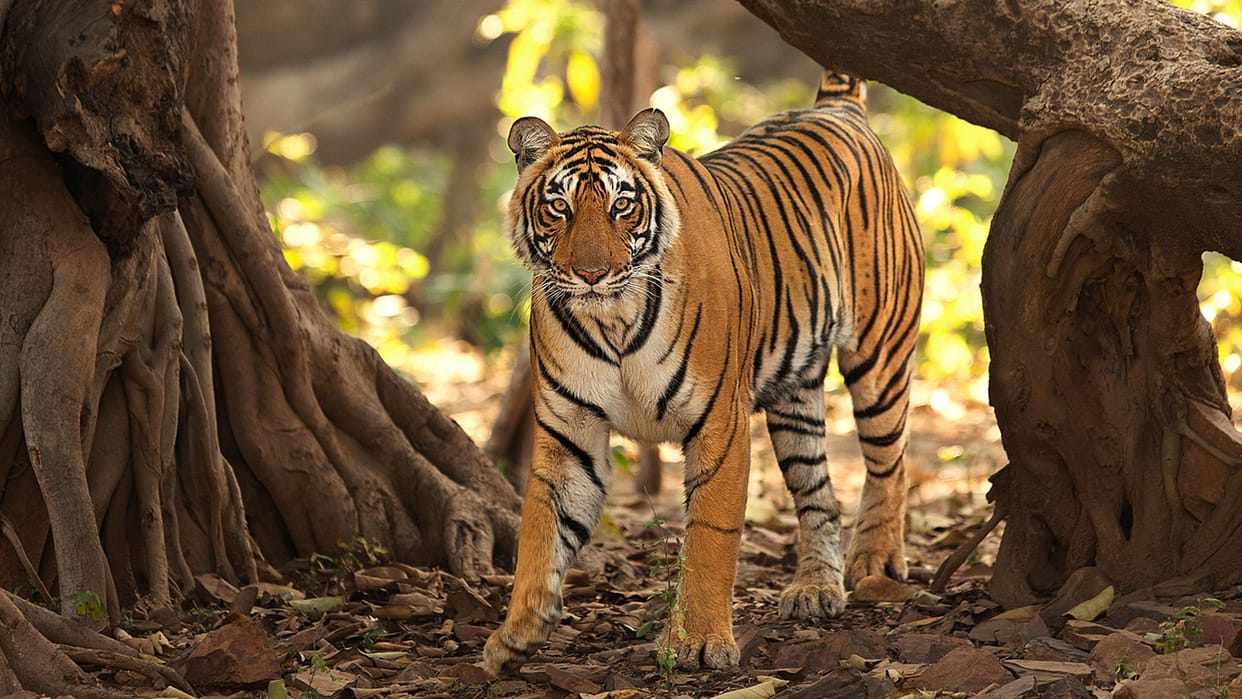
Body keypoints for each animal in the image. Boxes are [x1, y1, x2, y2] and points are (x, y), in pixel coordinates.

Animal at [483, 71, 924, 674]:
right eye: (559, 207)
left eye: (622, 205)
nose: (592, 274)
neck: (612, 318)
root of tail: (838, 108)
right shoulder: (569, 435)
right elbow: (540, 531)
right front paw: (516, 634)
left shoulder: (720, 424)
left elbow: (711, 537)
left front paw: (698, 641)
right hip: (795, 395)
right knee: (819, 492)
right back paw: (816, 588)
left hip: (880, 356)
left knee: (890, 463)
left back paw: (875, 561)